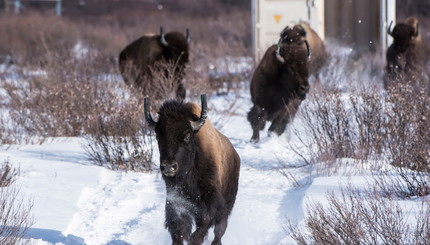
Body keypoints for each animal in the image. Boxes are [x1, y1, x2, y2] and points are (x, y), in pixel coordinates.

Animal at [144, 94, 239, 245]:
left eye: (187, 136)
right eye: (158, 136)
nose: (169, 166)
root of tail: (235, 155)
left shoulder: (210, 202)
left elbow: (204, 223)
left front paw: (194, 239)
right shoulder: (176, 202)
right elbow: (178, 228)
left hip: (227, 205)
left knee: (219, 230)